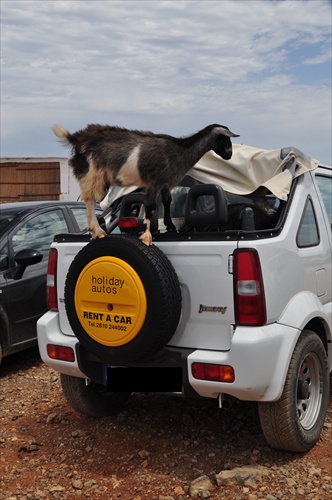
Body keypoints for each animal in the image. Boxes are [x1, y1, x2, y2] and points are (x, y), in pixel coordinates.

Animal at [52, 123, 239, 244]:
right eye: (226, 140)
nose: (229, 155)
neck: (179, 151)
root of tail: (76, 138)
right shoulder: (154, 182)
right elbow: (150, 206)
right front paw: (147, 236)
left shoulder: (165, 183)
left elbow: (167, 201)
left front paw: (171, 227)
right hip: (93, 172)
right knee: (90, 200)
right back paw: (98, 232)